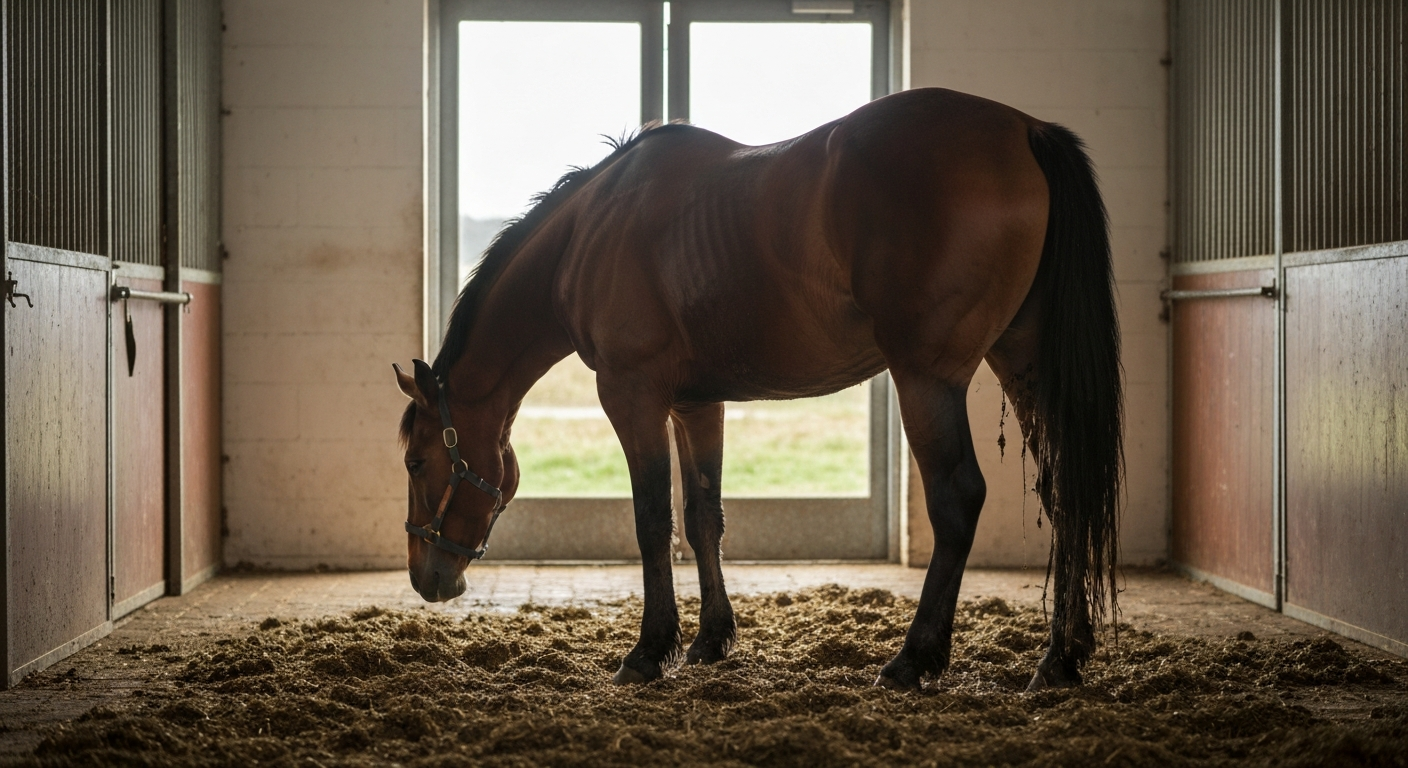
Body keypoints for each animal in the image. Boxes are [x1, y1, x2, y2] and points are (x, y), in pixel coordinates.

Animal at [394, 87, 1123, 691]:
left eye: (417, 461)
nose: (427, 579)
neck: (592, 231)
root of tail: (1024, 129)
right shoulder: (694, 403)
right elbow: (703, 518)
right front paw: (711, 641)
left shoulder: (632, 395)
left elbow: (652, 521)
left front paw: (648, 651)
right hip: (1023, 364)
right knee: (1065, 492)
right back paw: (1060, 659)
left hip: (927, 377)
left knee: (958, 499)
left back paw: (913, 660)